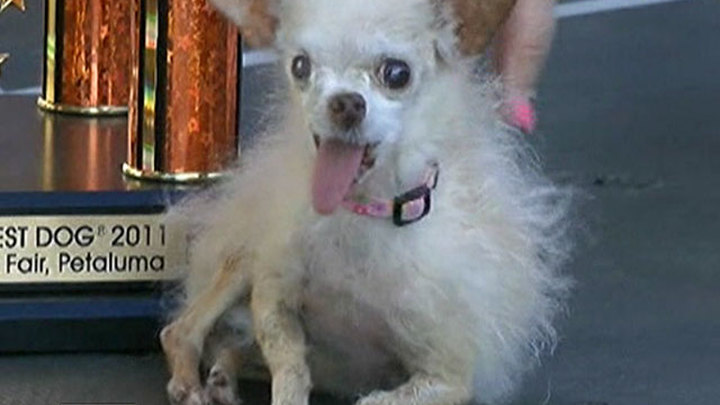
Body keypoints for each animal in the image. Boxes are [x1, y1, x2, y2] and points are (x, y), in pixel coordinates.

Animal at [160, 1, 572, 404]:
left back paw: (223, 379)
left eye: (397, 74)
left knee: (233, 347)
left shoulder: (448, 376)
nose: (345, 103)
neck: (362, 213)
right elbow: (290, 369)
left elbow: (375, 399)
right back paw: (190, 382)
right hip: (244, 264)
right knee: (180, 330)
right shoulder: (273, 300)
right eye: (300, 66)